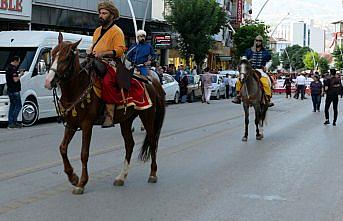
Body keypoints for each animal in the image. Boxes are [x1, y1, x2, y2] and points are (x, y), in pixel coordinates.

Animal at [44, 32, 167, 194]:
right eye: (52, 54)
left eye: (66, 57)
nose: (48, 81)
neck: (77, 88)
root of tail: (151, 80)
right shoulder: (71, 124)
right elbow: (62, 148)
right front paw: (73, 177)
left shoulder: (87, 124)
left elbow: (84, 153)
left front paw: (81, 183)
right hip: (126, 120)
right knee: (129, 144)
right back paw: (121, 177)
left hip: (147, 116)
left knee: (152, 141)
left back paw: (153, 174)